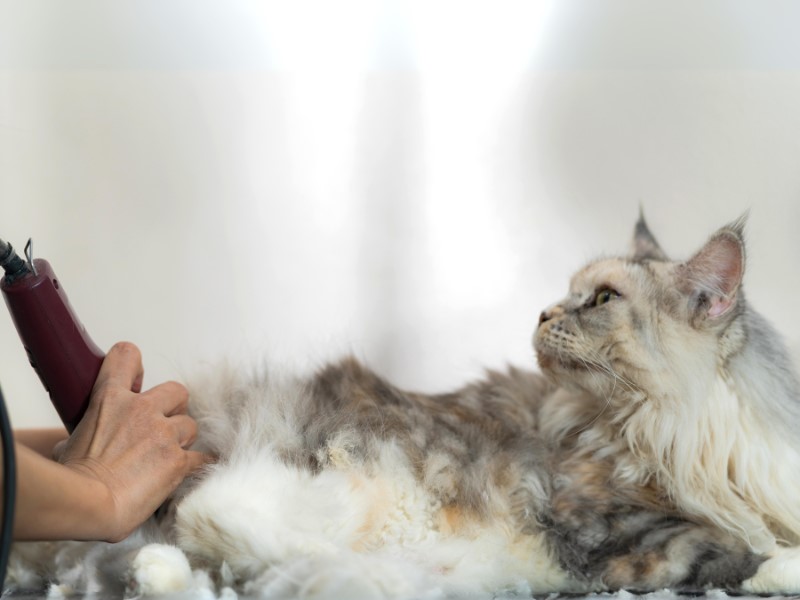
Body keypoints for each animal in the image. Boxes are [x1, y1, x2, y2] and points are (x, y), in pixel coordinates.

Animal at [4, 213, 800, 596]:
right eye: (570, 292)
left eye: (602, 300)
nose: (543, 312)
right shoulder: (612, 528)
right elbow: (738, 550)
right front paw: (778, 564)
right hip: (373, 497)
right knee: (225, 523)